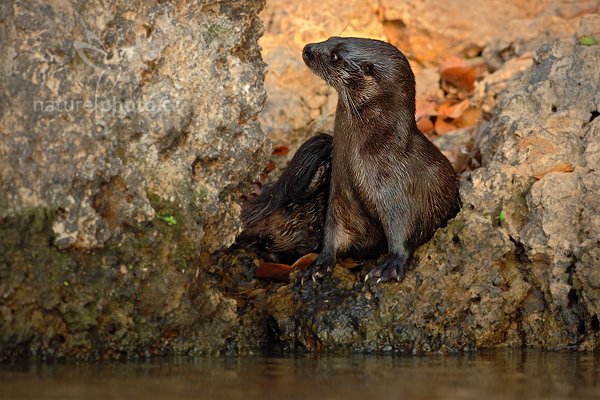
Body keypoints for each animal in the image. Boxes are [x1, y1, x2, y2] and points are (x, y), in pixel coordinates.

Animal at [302, 36, 462, 282]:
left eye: (335, 56)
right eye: (331, 38)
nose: (307, 49)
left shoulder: (400, 193)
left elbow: (403, 230)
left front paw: (390, 265)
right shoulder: (340, 194)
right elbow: (335, 230)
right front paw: (319, 264)